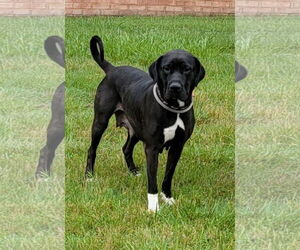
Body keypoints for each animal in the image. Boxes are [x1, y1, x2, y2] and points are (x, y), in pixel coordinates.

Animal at [85, 35, 205, 211]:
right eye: (166, 68)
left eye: (187, 69)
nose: (175, 87)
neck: (174, 108)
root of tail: (112, 69)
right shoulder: (152, 148)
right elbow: (152, 180)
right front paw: (153, 207)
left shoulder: (177, 146)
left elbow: (168, 175)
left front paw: (167, 197)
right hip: (100, 121)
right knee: (92, 149)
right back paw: (88, 176)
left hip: (135, 128)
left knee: (126, 148)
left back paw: (133, 171)